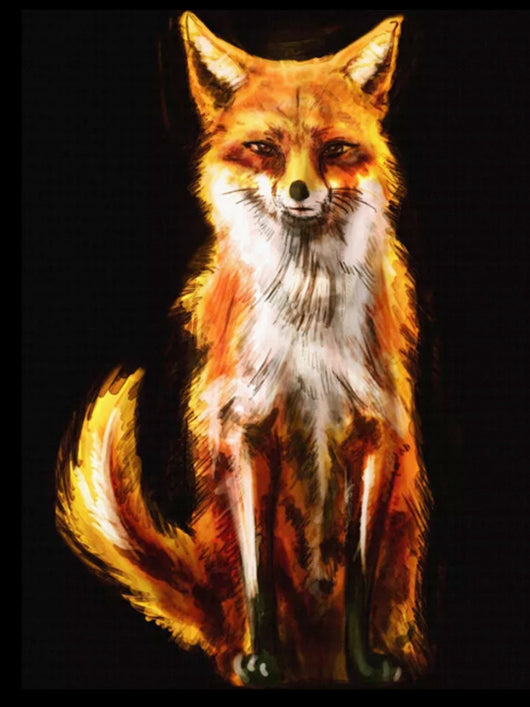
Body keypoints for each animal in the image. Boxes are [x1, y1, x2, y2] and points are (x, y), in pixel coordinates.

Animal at [56, 12, 431, 687]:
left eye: (335, 150)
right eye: (265, 149)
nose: (301, 190)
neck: (307, 323)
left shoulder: (375, 428)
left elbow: (359, 575)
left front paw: (365, 662)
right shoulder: (244, 428)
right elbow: (258, 575)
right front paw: (261, 657)